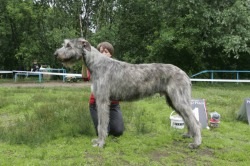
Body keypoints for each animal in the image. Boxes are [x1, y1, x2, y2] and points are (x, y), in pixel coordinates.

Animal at [54, 38, 201, 148]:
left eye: (68, 45)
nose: (55, 54)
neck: (96, 63)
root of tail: (185, 74)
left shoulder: (102, 100)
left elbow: (102, 124)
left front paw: (100, 143)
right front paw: (99, 141)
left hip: (179, 99)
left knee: (194, 120)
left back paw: (196, 143)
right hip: (173, 100)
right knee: (187, 118)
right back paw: (189, 135)